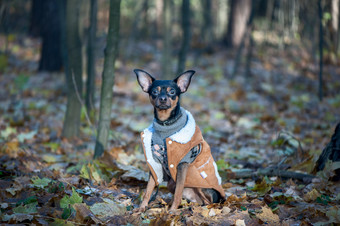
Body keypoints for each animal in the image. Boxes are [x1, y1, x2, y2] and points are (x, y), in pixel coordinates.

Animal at [133, 69, 226, 212]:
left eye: (172, 92)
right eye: (154, 92)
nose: (163, 98)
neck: (165, 124)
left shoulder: (182, 165)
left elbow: (178, 192)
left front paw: (172, 211)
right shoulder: (154, 166)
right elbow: (148, 190)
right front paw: (142, 208)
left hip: (198, 184)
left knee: (206, 202)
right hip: (172, 183)